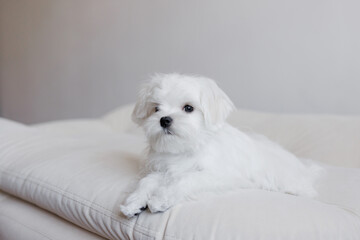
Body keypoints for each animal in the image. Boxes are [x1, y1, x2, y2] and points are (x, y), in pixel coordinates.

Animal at [119, 73, 322, 218]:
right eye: (156, 108)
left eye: (188, 108)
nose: (164, 120)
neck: (187, 148)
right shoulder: (164, 170)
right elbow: (147, 181)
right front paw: (134, 201)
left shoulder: (220, 175)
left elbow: (187, 179)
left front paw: (161, 199)